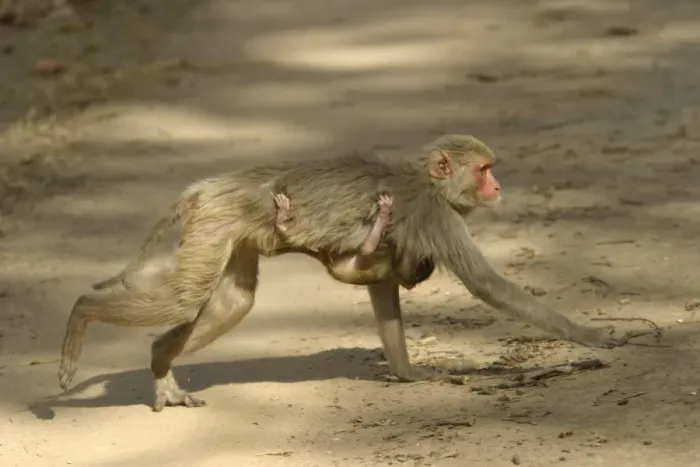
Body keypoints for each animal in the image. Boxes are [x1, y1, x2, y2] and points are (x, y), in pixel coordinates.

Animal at [59, 134, 628, 412]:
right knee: (182, 297)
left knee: (232, 302)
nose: (498, 186)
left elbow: (383, 286)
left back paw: (160, 361)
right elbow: (489, 286)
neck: (429, 182)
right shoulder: (437, 216)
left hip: (228, 230)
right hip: (219, 219)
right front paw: (592, 335)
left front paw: (407, 373)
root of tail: (213, 185)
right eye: (485, 170)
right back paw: (81, 314)